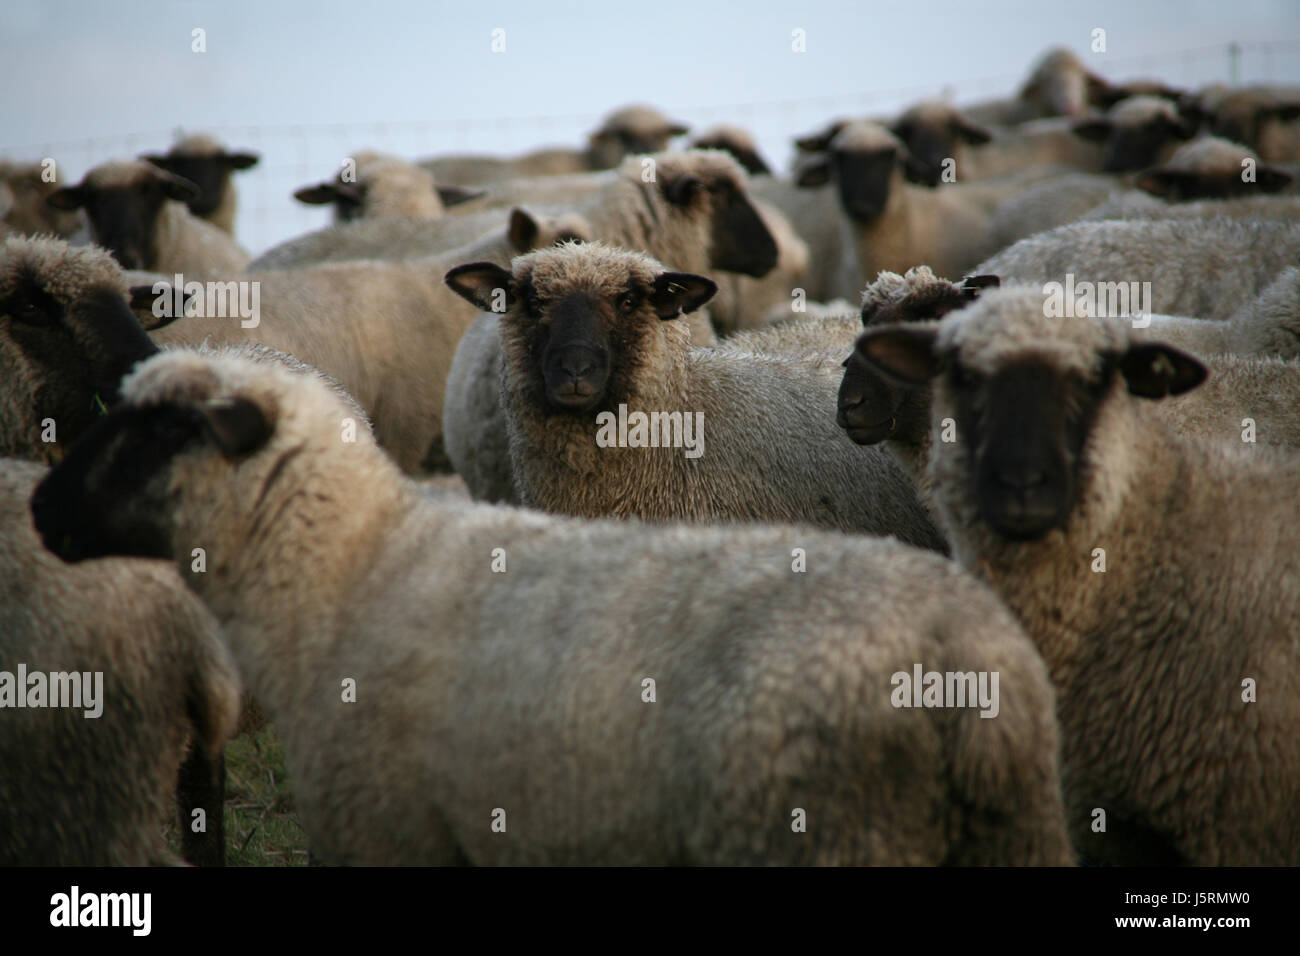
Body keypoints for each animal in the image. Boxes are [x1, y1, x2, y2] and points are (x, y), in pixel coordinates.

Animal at [31, 347, 1074, 866]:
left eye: (159, 428)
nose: (41, 507)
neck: (349, 568)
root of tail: (968, 660)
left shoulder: (391, 832)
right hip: (1013, 830)